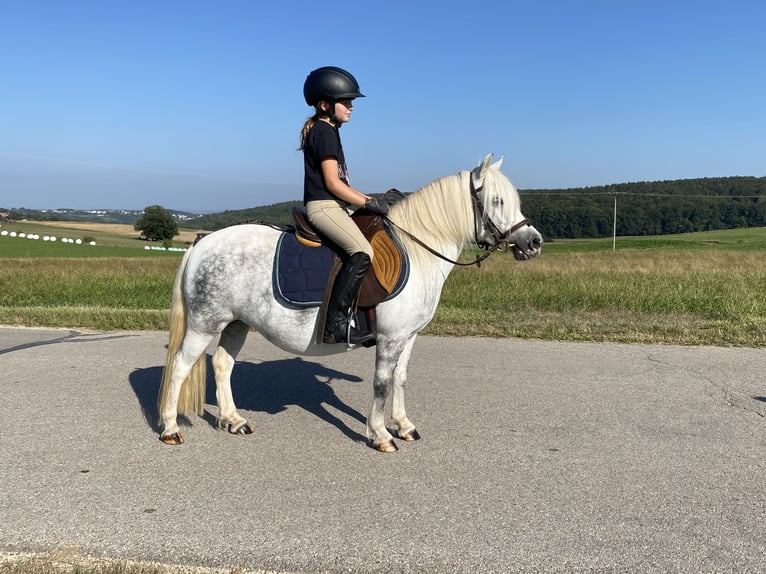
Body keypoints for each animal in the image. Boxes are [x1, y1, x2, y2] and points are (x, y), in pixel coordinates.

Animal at [156, 154, 544, 454]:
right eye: (496, 201)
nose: (534, 241)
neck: (418, 249)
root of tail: (201, 243)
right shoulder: (390, 338)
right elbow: (382, 383)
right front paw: (380, 435)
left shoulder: (408, 336)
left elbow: (401, 379)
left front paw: (403, 425)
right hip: (205, 323)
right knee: (180, 366)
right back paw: (170, 428)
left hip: (236, 323)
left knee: (222, 365)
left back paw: (233, 420)